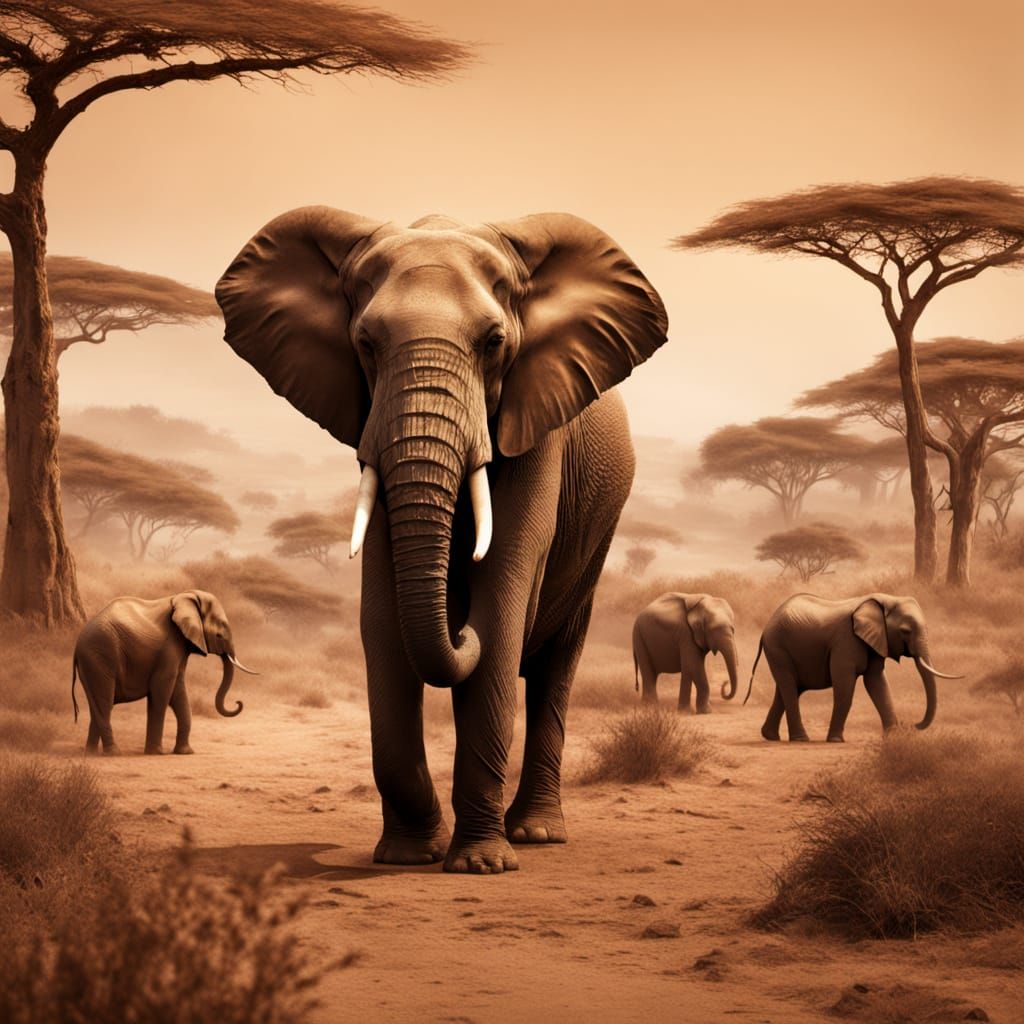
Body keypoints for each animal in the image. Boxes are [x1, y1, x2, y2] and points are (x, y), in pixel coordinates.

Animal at [71, 590, 257, 755]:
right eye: (219, 635)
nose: (238, 702)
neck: (184, 596)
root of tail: (77, 646)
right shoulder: (169, 646)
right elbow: (162, 690)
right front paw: (156, 753)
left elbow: (178, 690)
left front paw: (185, 752)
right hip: (100, 656)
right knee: (104, 701)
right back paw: (114, 753)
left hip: (93, 662)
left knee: (99, 704)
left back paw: (91, 754)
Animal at [216, 207, 668, 873]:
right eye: (366, 344)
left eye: (494, 344)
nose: (458, 626)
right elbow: (381, 620)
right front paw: (408, 855)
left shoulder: (539, 431)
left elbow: (501, 601)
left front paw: (481, 864)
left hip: (598, 539)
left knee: (555, 667)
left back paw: (535, 833)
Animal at [746, 592, 962, 742]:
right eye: (905, 631)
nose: (911, 724)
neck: (885, 599)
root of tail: (766, 627)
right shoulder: (846, 641)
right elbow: (845, 686)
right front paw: (835, 740)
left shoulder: (875, 642)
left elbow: (877, 683)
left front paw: (894, 737)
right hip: (777, 647)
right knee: (789, 687)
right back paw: (800, 739)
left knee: (788, 689)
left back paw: (770, 736)